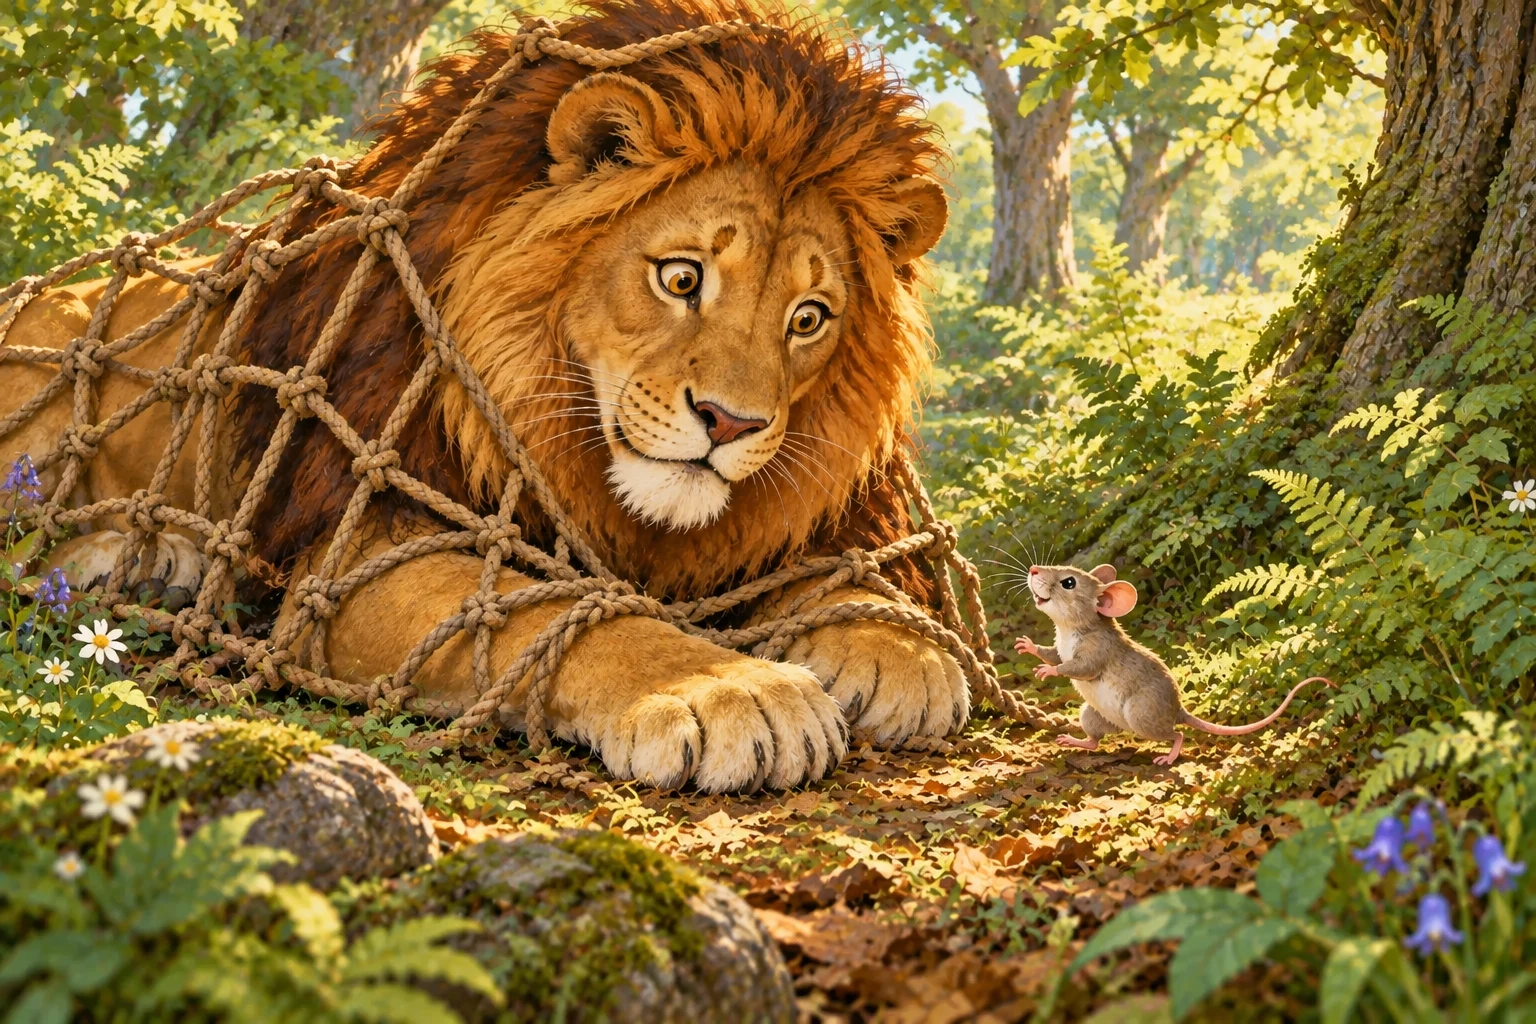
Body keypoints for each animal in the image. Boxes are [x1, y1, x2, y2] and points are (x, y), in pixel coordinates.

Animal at [1, 0, 965, 793]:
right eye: (682, 277)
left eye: (809, 318)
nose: (731, 422)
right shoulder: (353, 549)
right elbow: (556, 611)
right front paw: (731, 690)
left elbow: (840, 573)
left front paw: (893, 645)